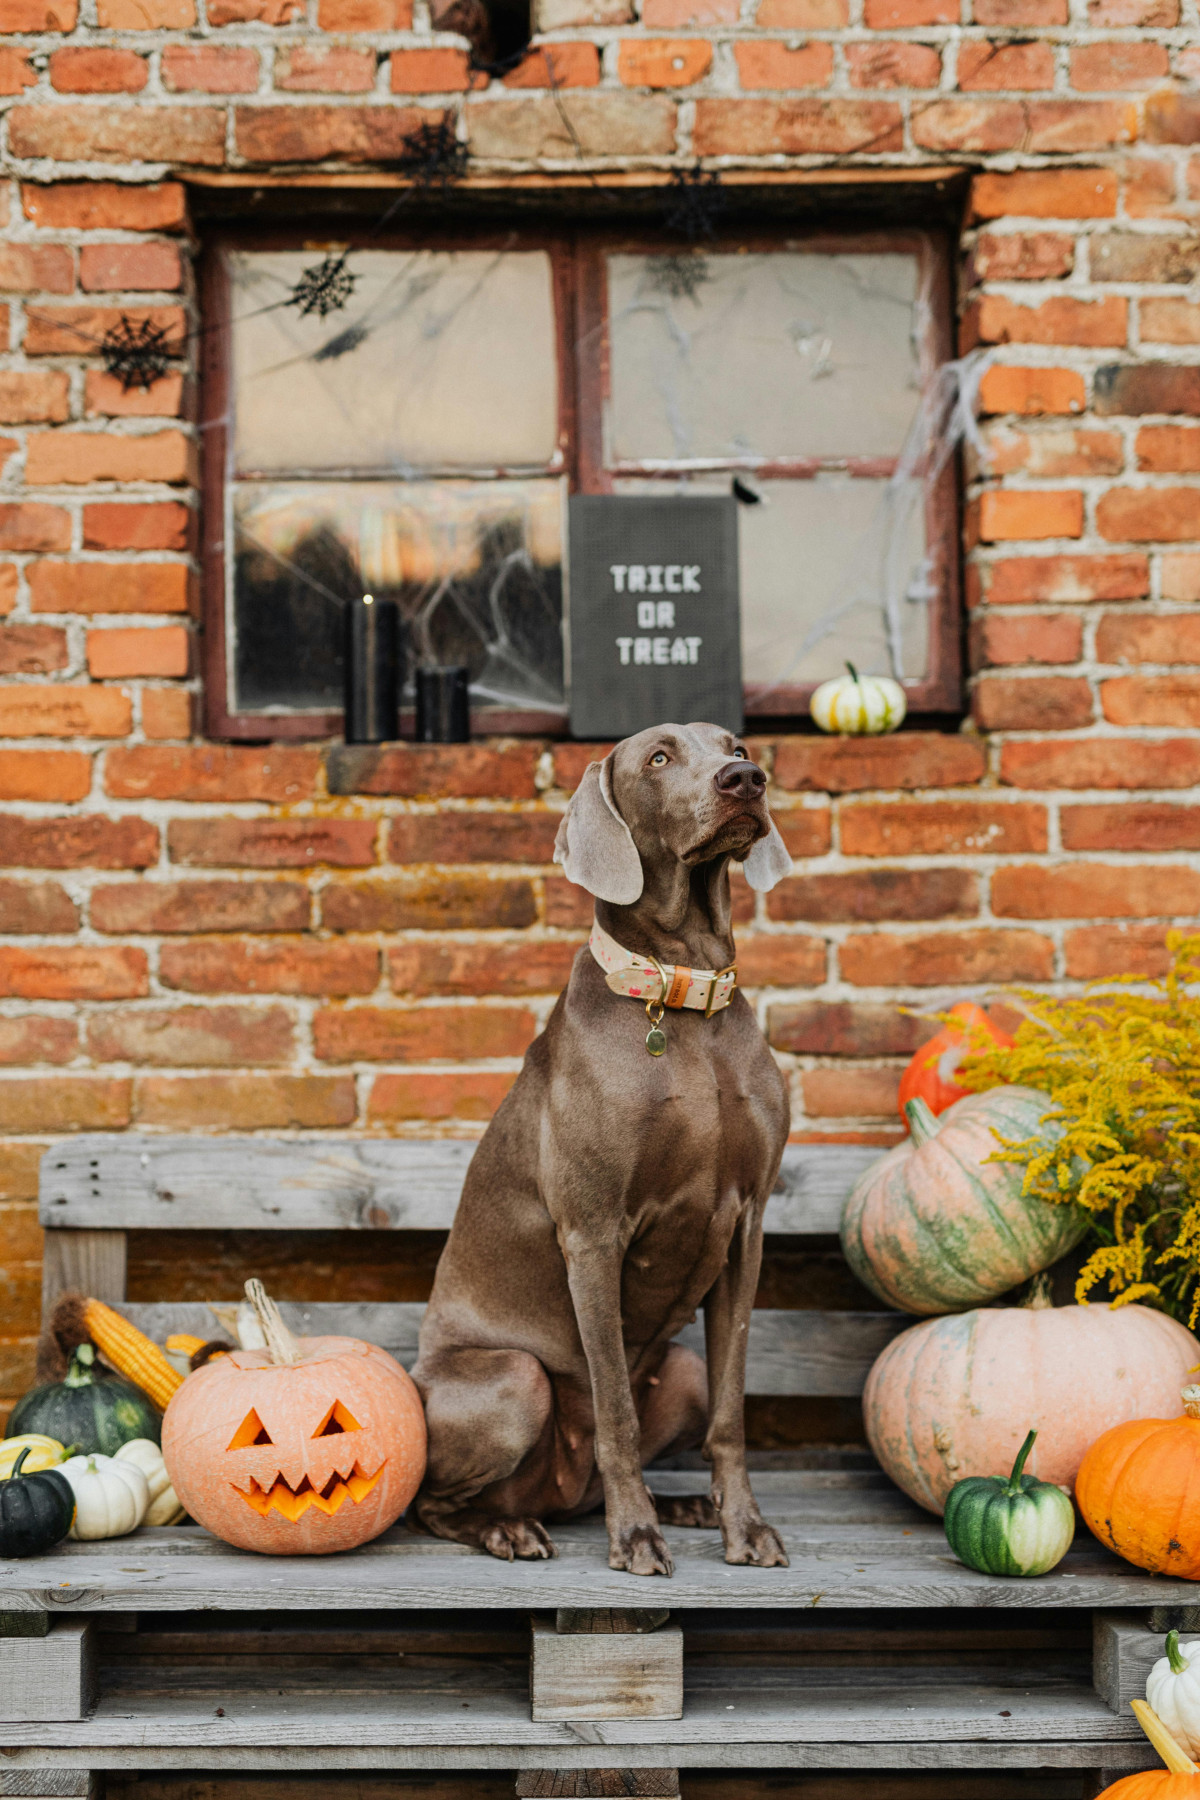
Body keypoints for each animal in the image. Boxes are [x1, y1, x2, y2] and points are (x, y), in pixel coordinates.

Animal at [413, 716, 798, 1576]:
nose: (744, 781)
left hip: (679, 1368)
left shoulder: (747, 1228)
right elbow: (616, 1411)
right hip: (513, 1380)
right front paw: (637, 1538)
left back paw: (686, 1505)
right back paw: (512, 1529)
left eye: (736, 744)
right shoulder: (593, 1234)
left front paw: (745, 1526)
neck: (684, 999)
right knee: (431, 1504)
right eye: (657, 757)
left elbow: (732, 1413)